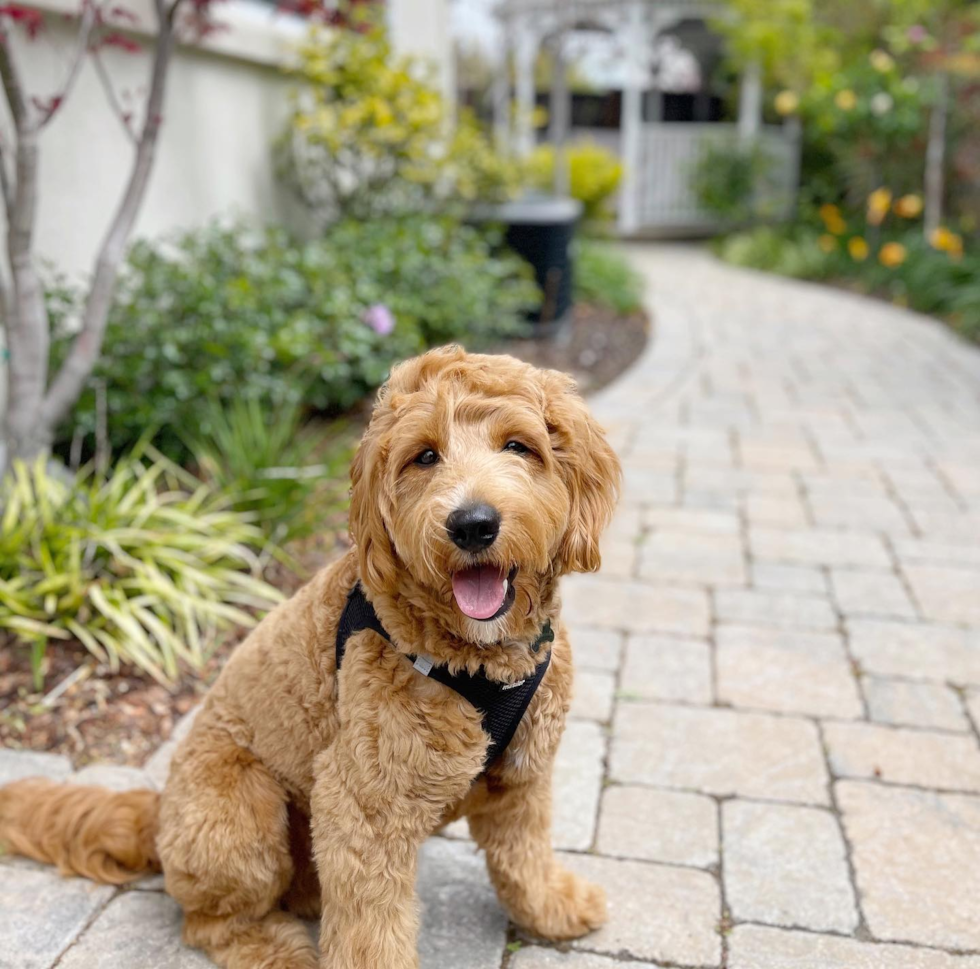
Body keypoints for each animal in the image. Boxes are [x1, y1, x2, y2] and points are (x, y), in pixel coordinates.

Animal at [1, 348, 620, 968]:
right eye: (424, 456)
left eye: (518, 445)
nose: (472, 525)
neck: (479, 661)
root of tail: (157, 814)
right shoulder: (362, 806)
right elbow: (371, 931)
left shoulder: (524, 778)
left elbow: (524, 856)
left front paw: (552, 909)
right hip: (242, 813)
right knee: (208, 923)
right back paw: (275, 949)